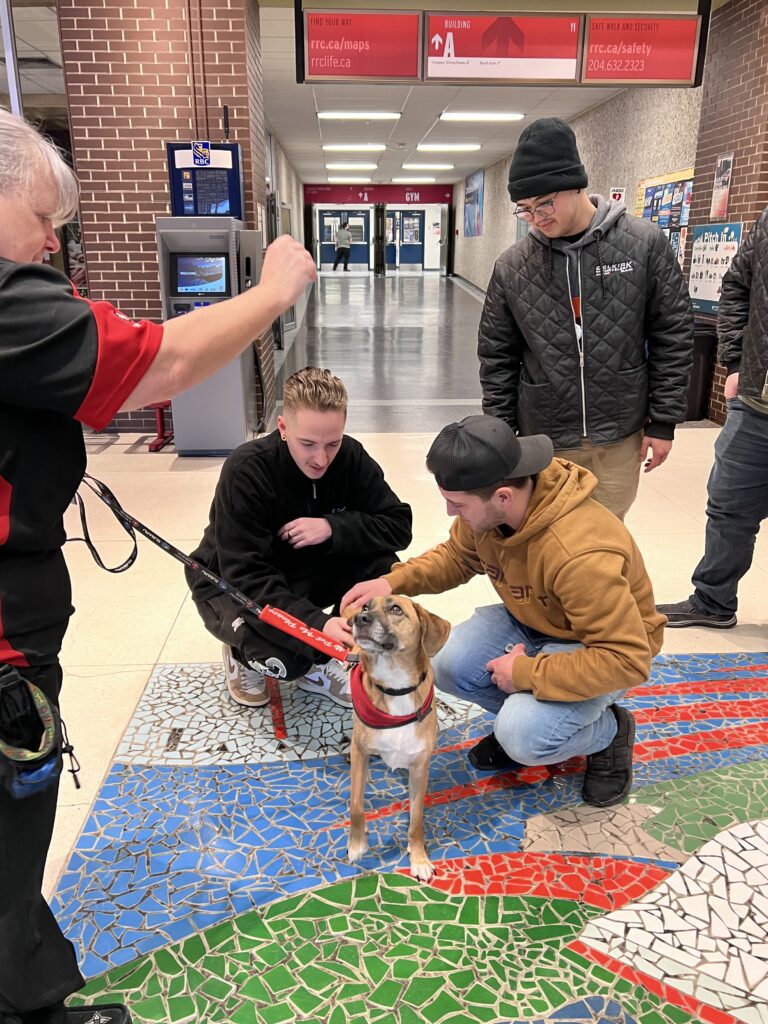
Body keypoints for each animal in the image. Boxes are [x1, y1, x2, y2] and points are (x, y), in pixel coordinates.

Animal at [348, 598, 450, 880]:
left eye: (396, 609)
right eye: (366, 607)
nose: (359, 619)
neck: (396, 688)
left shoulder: (419, 767)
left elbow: (416, 820)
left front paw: (419, 859)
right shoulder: (359, 751)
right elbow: (356, 804)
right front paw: (357, 844)